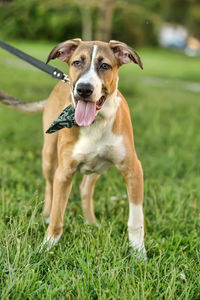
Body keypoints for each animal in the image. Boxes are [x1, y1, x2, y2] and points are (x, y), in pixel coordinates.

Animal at [0, 38, 146, 258]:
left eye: (105, 66)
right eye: (77, 62)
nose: (83, 89)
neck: (95, 123)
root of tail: (63, 81)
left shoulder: (133, 169)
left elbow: (136, 219)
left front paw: (138, 253)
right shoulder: (64, 172)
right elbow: (58, 214)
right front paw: (46, 247)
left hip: (98, 166)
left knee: (85, 188)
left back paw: (91, 223)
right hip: (49, 156)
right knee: (49, 187)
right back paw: (46, 215)